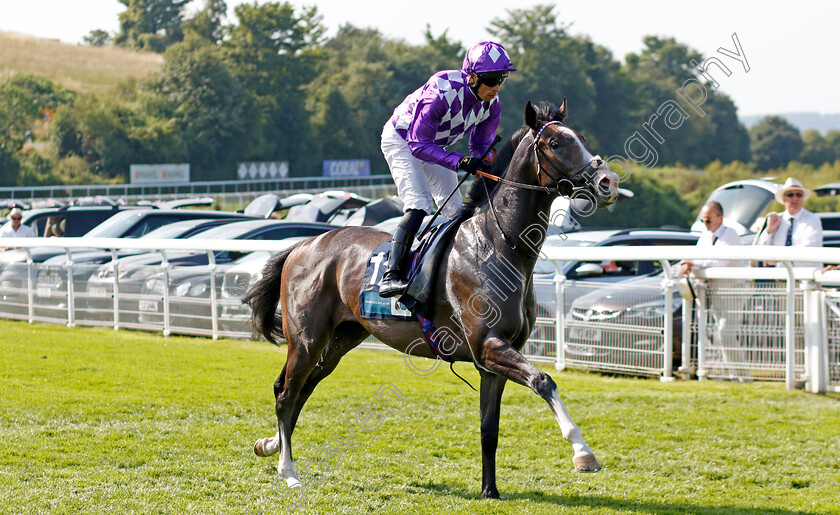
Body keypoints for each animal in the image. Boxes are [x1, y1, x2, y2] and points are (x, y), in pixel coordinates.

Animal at [243, 101, 616, 500]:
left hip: (342, 336)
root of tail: (303, 245)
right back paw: (288, 471)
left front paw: (489, 491)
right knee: (287, 392)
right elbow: (544, 380)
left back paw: (269, 445)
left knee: (304, 387)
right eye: (555, 143)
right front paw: (583, 452)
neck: (499, 245)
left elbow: (489, 429)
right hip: (307, 338)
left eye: (580, 137)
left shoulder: (491, 361)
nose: (607, 181)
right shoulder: (489, 345)